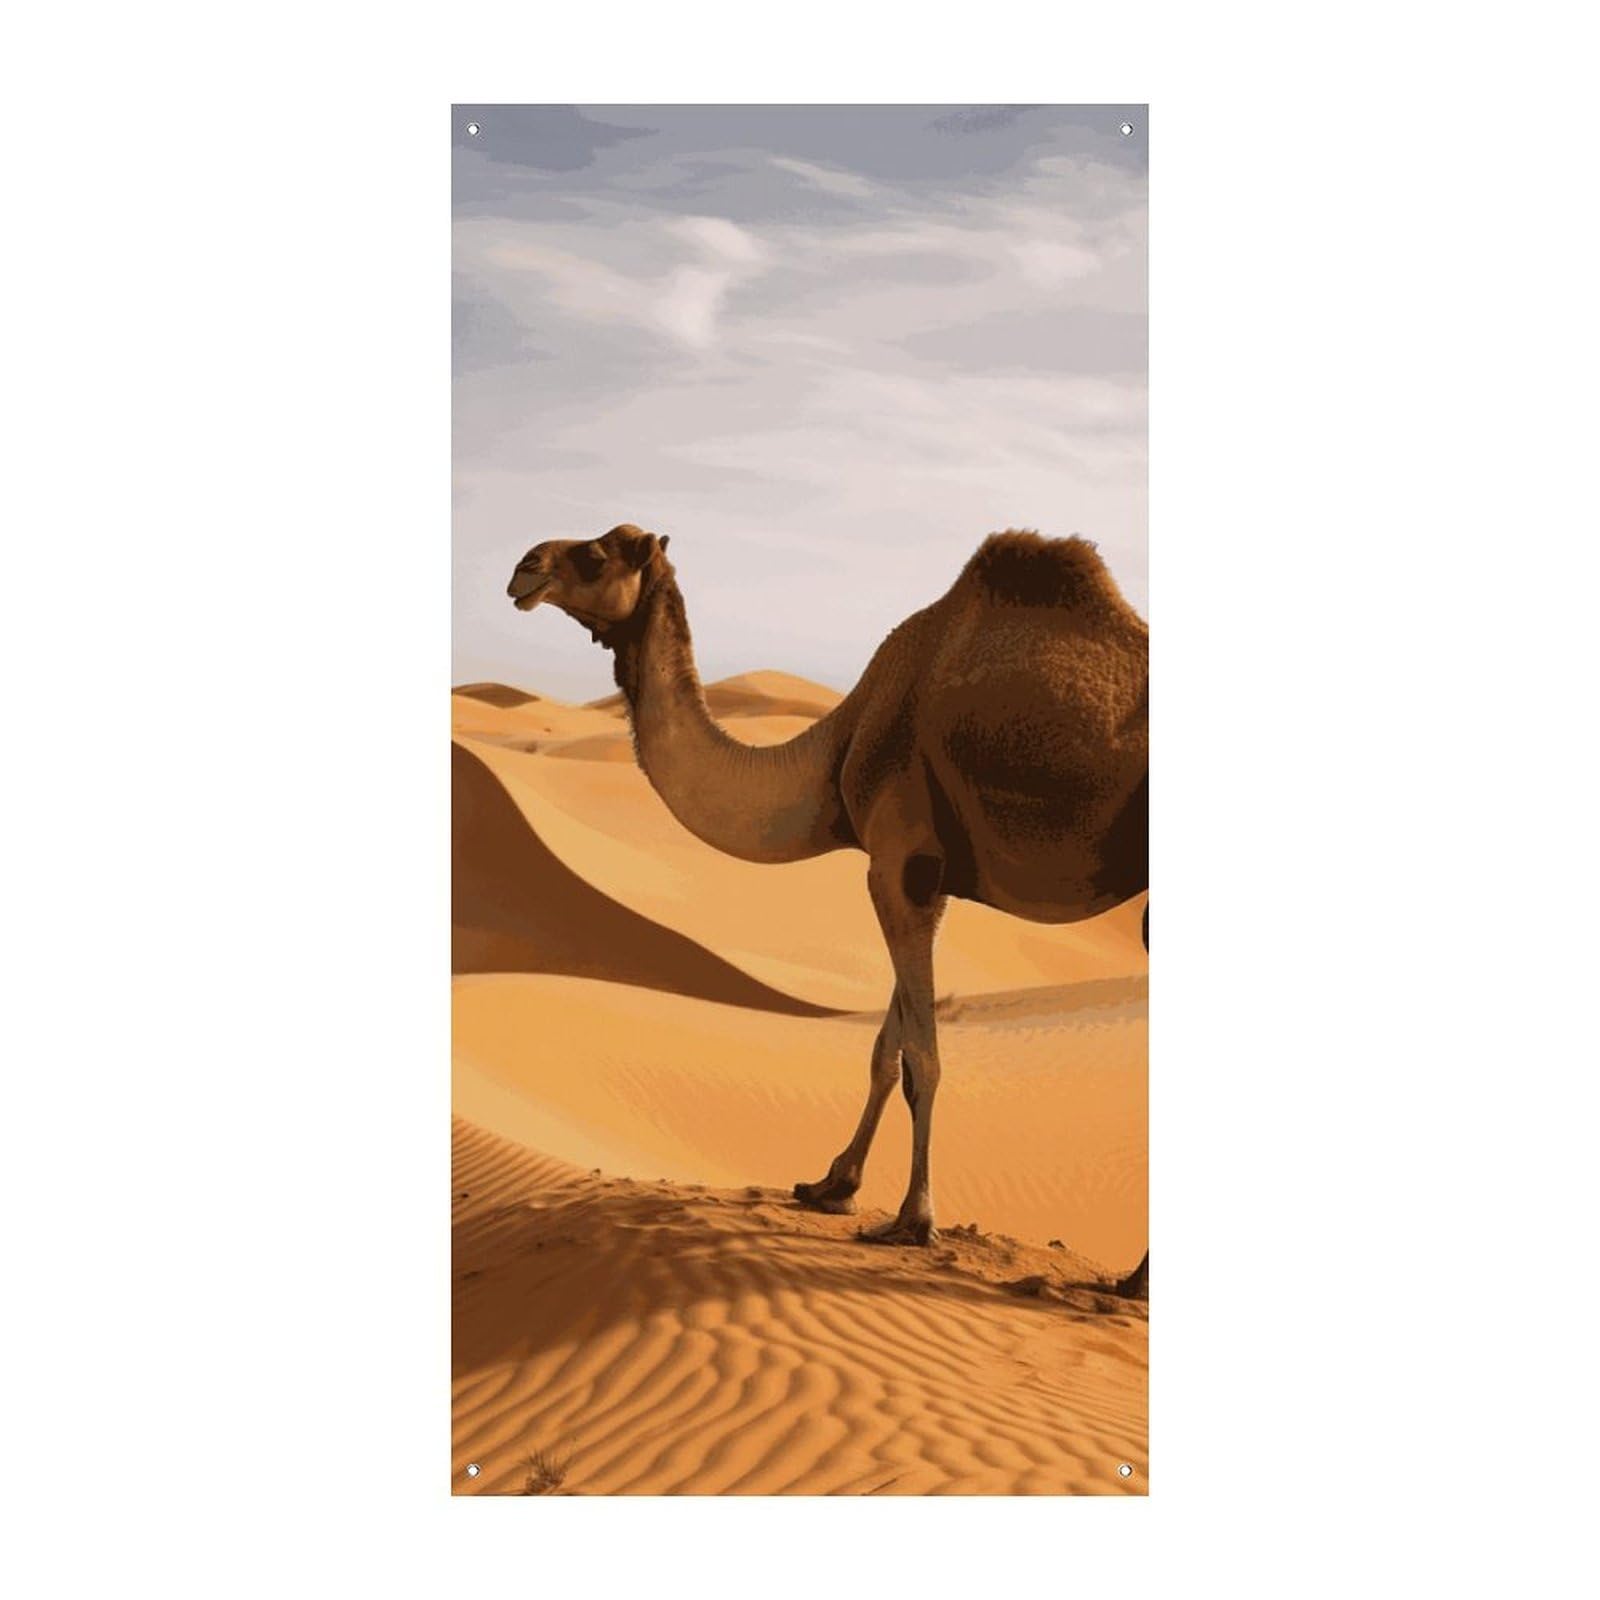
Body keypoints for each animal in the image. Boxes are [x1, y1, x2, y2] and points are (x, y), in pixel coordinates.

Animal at [507, 523, 1148, 1246]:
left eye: (594, 556)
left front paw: (913, 1217)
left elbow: (921, 1058)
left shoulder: (897, 860)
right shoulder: (928, 876)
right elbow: (885, 1048)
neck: (840, 745)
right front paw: (832, 1185)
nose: (523, 567)